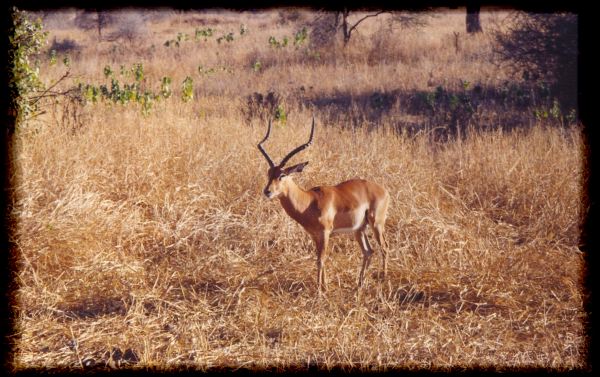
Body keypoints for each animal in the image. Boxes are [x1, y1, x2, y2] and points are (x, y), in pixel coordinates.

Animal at [256, 119, 390, 292]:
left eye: (282, 175)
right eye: (269, 173)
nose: (267, 191)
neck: (309, 202)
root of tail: (383, 190)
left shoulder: (325, 233)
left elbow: (320, 259)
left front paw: (320, 290)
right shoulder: (315, 236)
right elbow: (320, 258)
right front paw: (325, 286)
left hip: (377, 224)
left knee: (384, 248)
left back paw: (383, 278)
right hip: (359, 229)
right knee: (368, 251)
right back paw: (359, 284)